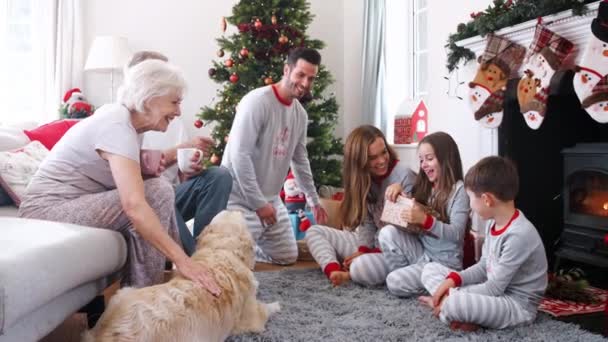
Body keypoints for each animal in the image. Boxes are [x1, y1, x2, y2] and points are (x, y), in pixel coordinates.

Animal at [83, 211, 280, 342]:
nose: (237, 209)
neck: (220, 249)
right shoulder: (252, 318)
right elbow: (266, 309)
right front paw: (277, 305)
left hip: (123, 292)